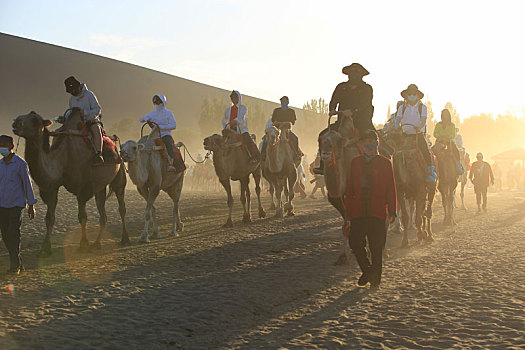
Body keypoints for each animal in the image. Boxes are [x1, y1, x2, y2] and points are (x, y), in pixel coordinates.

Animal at [12, 109, 128, 254]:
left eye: (34, 120)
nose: (15, 122)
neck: (63, 158)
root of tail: (115, 143)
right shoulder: (52, 187)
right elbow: (49, 218)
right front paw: (45, 248)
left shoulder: (83, 188)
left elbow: (82, 217)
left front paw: (83, 245)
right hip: (99, 185)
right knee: (103, 213)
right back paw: (97, 243)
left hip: (119, 174)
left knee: (121, 206)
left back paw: (124, 239)